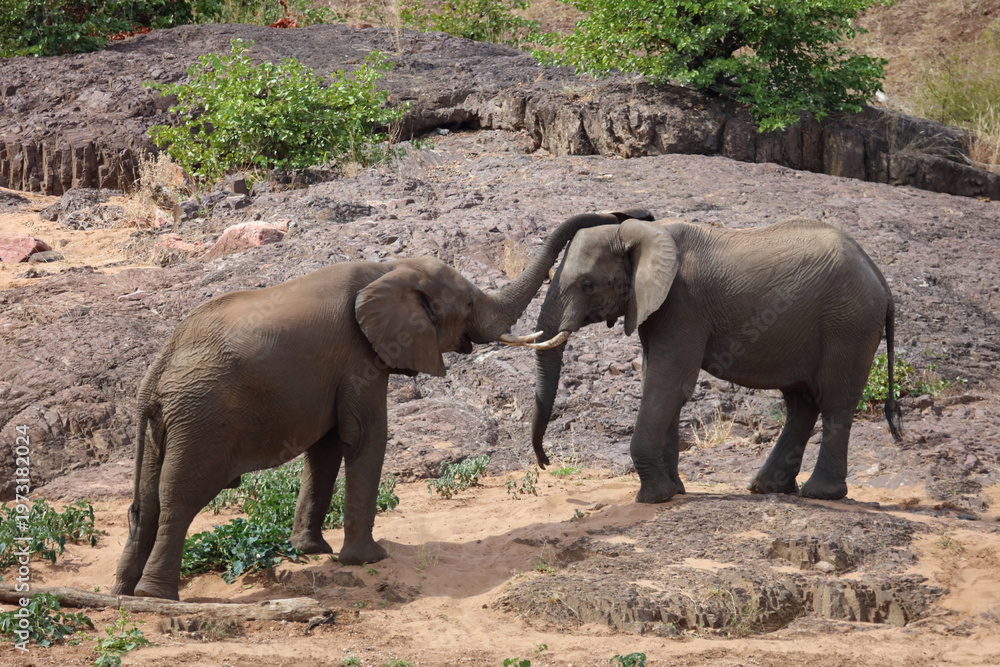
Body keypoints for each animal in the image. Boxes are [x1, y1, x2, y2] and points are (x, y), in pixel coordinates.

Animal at [111, 209, 651, 600]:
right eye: (468, 306)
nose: (630, 213)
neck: (386, 270)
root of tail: (154, 379)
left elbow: (327, 448)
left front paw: (312, 551)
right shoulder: (358, 357)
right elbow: (364, 438)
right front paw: (369, 560)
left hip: (167, 423)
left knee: (145, 501)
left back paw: (124, 593)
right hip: (203, 415)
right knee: (181, 496)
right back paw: (158, 597)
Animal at [526, 217, 902, 504]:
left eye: (587, 285)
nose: (545, 463)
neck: (639, 232)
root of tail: (881, 280)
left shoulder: (683, 306)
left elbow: (669, 383)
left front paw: (654, 497)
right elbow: (656, 380)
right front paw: (674, 490)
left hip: (848, 324)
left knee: (835, 400)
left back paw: (820, 494)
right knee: (802, 401)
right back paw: (767, 487)